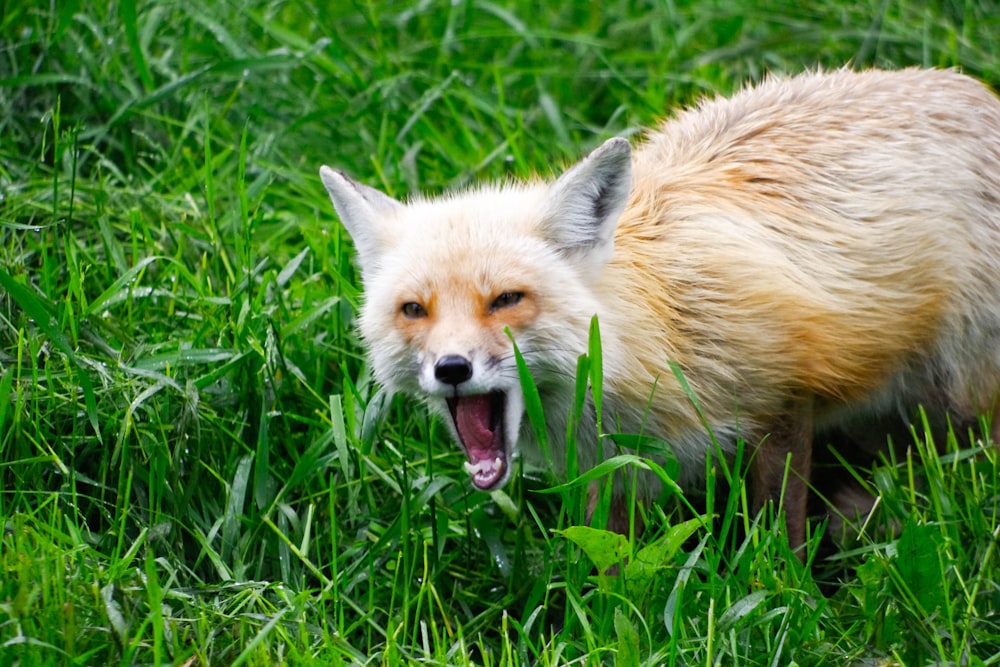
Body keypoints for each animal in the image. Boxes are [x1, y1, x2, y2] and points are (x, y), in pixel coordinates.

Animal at [320, 69, 1000, 552]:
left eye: (506, 299)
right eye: (415, 309)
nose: (452, 369)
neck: (657, 331)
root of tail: (976, 91)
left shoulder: (783, 396)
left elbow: (779, 531)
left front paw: (791, 591)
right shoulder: (608, 471)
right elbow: (611, 573)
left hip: (959, 399)